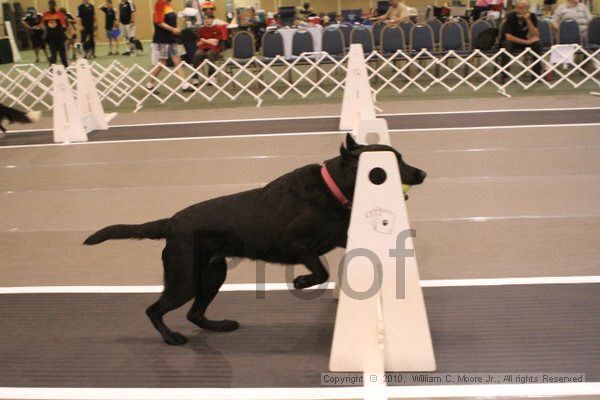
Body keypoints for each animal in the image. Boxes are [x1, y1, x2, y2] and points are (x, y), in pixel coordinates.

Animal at [83, 135, 426, 346]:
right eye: (393, 163)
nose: (422, 174)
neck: (332, 190)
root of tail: (171, 222)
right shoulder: (295, 245)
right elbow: (321, 271)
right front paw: (301, 282)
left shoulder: (340, 235)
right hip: (185, 280)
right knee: (154, 310)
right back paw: (171, 338)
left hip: (213, 275)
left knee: (195, 313)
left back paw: (219, 325)